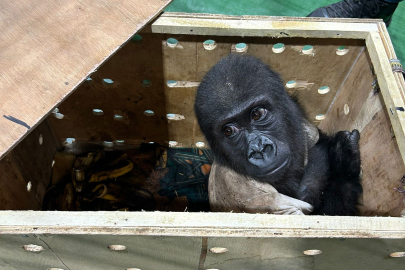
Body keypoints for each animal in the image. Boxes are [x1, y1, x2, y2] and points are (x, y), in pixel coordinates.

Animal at [194, 54, 362, 215]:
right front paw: (343, 163)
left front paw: (343, 158)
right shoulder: (247, 192)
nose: (259, 149)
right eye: (229, 131)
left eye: (257, 114)